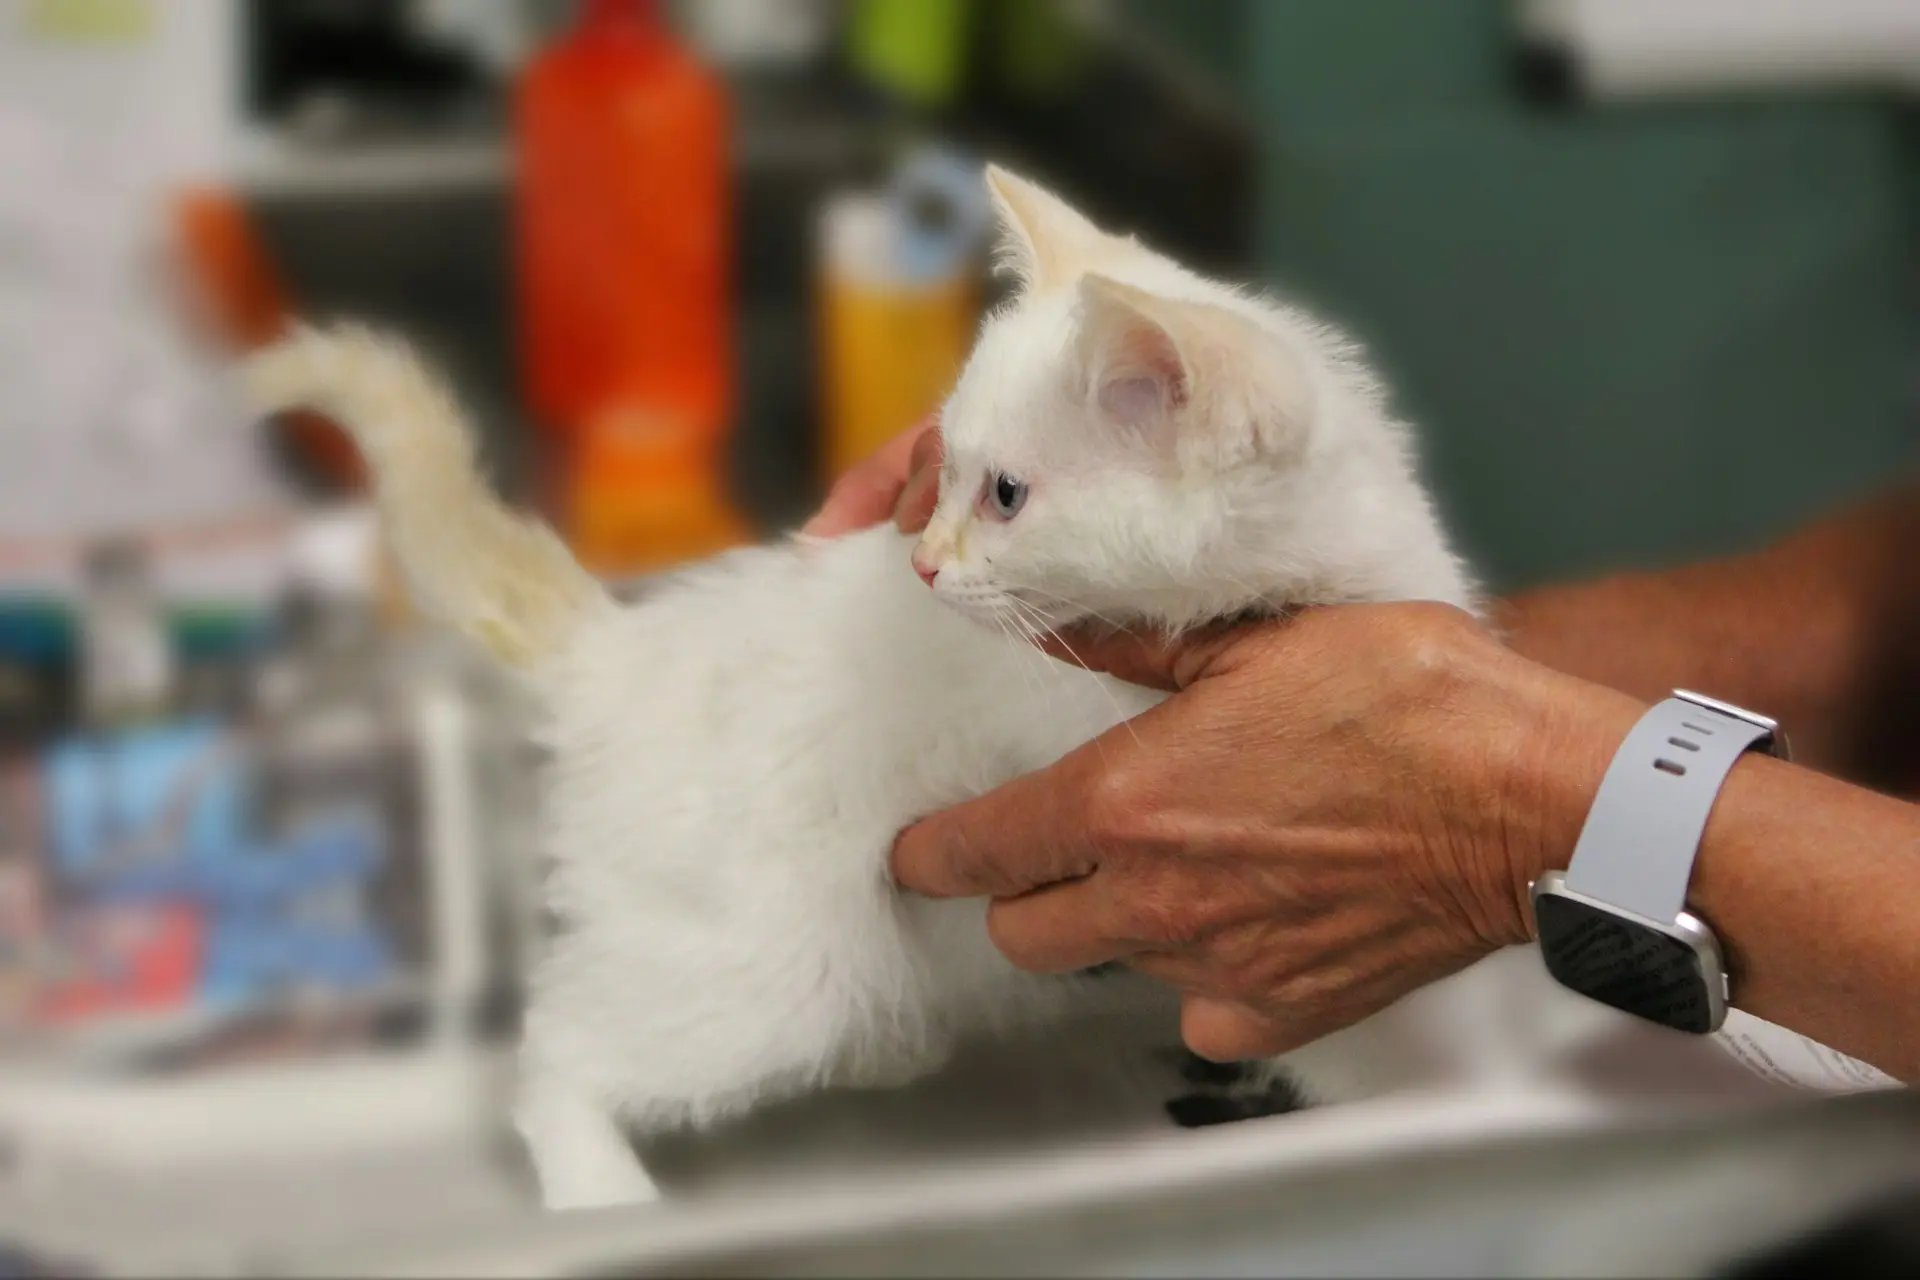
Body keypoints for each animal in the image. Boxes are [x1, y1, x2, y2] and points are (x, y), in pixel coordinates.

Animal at [240, 167, 1559, 1212]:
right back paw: (599, 1195)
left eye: (1006, 493)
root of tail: (623, 652)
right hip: (772, 964)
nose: (924, 560)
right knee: (561, 1041)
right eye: (943, 471)